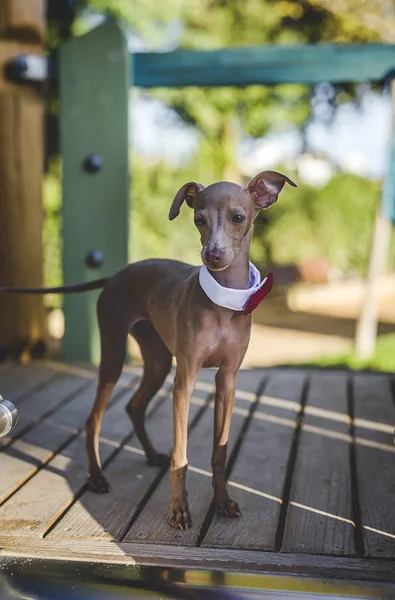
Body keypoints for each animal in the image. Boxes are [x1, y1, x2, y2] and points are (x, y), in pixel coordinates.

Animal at [0, 170, 296, 528]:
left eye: (238, 218)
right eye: (198, 219)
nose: (212, 256)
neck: (224, 303)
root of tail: (115, 275)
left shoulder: (227, 381)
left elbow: (219, 451)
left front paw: (223, 501)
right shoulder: (185, 382)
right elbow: (181, 455)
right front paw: (179, 509)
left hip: (157, 362)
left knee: (134, 407)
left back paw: (152, 455)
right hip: (115, 355)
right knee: (93, 420)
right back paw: (96, 477)